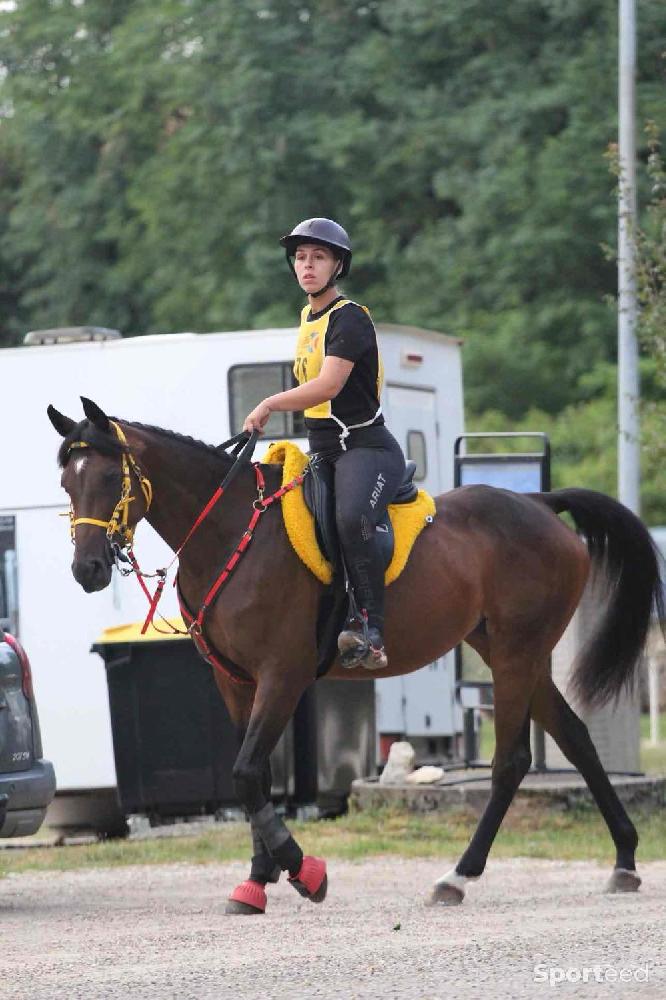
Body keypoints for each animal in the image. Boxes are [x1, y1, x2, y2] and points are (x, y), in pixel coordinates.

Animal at [49, 398, 660, 916]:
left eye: (109, 477)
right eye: (66, 482)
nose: (87, 569)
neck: (232, 532)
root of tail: (539, 503)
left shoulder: (282, 675)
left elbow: (245, 773)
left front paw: (303, 871)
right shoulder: (236, 683)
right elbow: (255, 777)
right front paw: (256, 881)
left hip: (516, 653)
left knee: (511, 761)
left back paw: (458, 876)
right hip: (512, 651)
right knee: (575, 737)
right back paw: (625, 859)